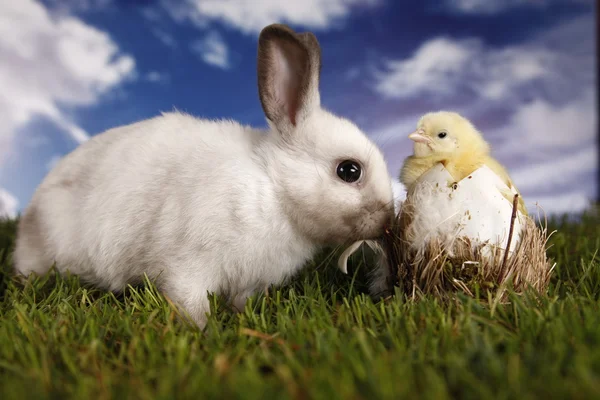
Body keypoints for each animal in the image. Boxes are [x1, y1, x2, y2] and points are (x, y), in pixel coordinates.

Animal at [12, 23, 394, 326]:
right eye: (349, 171)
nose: (388, 221)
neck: (273, 190)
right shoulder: (188, 265)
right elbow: (190, 303)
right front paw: (203, 333)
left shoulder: (249, 281)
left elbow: (241, 303)